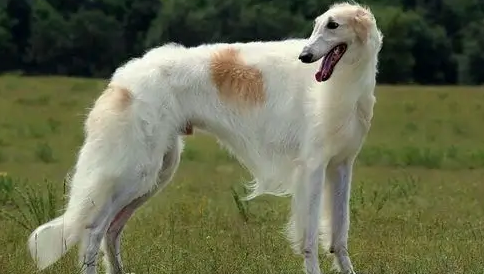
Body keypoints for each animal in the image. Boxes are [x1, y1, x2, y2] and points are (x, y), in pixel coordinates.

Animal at [27, 2, 382, 274]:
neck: (342, 83)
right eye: (316, 26)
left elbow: (339, 237)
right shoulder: (311, 167)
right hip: (134, 172)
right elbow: (309, 239)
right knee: (93, 231)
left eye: (333, 25)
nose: (305, 56)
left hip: (156, 173)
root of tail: (122, 80)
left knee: (111, 233)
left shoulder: (341, 165)